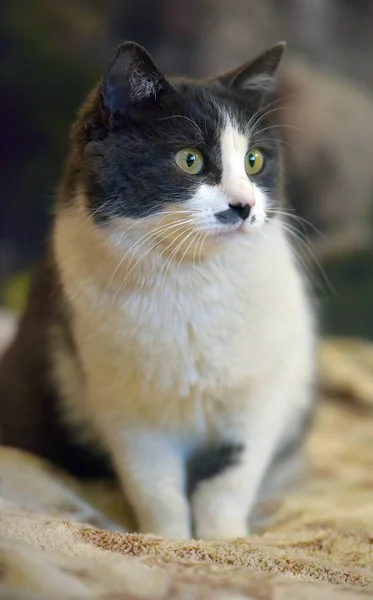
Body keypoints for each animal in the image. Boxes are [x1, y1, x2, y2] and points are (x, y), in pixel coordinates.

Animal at [0, 41, 314, 540]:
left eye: (254, 161)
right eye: (190, 159)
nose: (245, 206)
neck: (191, 280)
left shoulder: (259, 391)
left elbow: (229, 479)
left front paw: (225, 541)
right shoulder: (128, 409)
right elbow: (156, 487)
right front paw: (169, 541)